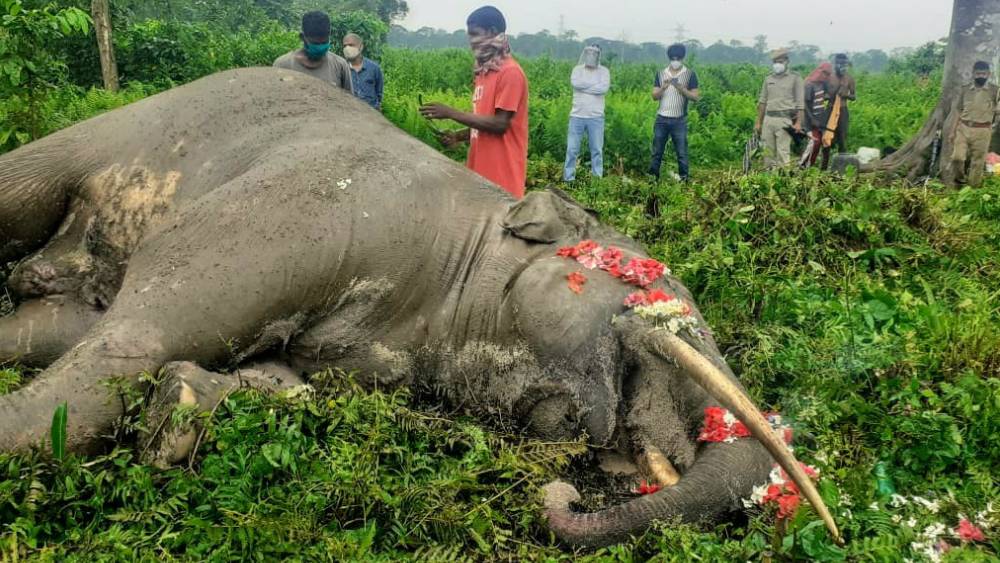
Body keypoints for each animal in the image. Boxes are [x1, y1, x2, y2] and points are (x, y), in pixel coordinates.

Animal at [1, 66, 836, 548]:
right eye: (654, 296)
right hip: (102, 139)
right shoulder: (310, 217)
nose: (565, 489)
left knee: (47, 318)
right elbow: (130, 347)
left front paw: (180, 412)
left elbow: (282, 379)